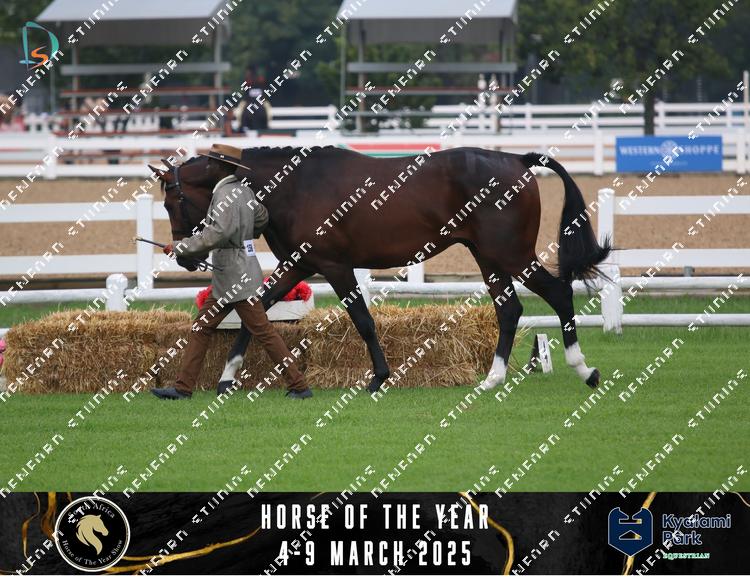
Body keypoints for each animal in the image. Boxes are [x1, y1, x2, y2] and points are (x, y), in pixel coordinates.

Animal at [150, 145, 611, 395]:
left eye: (173, 202)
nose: (184, 257)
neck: (294, 186)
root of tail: (518, 160)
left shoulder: (334, 265)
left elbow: (363, 320)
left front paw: (379, 378)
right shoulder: (298, 264)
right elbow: (257, 312)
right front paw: (228, 376)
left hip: (511, 255)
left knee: (559, 294)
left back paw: (584, 369)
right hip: (489, 258)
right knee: (510, 310)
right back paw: (492, 379)